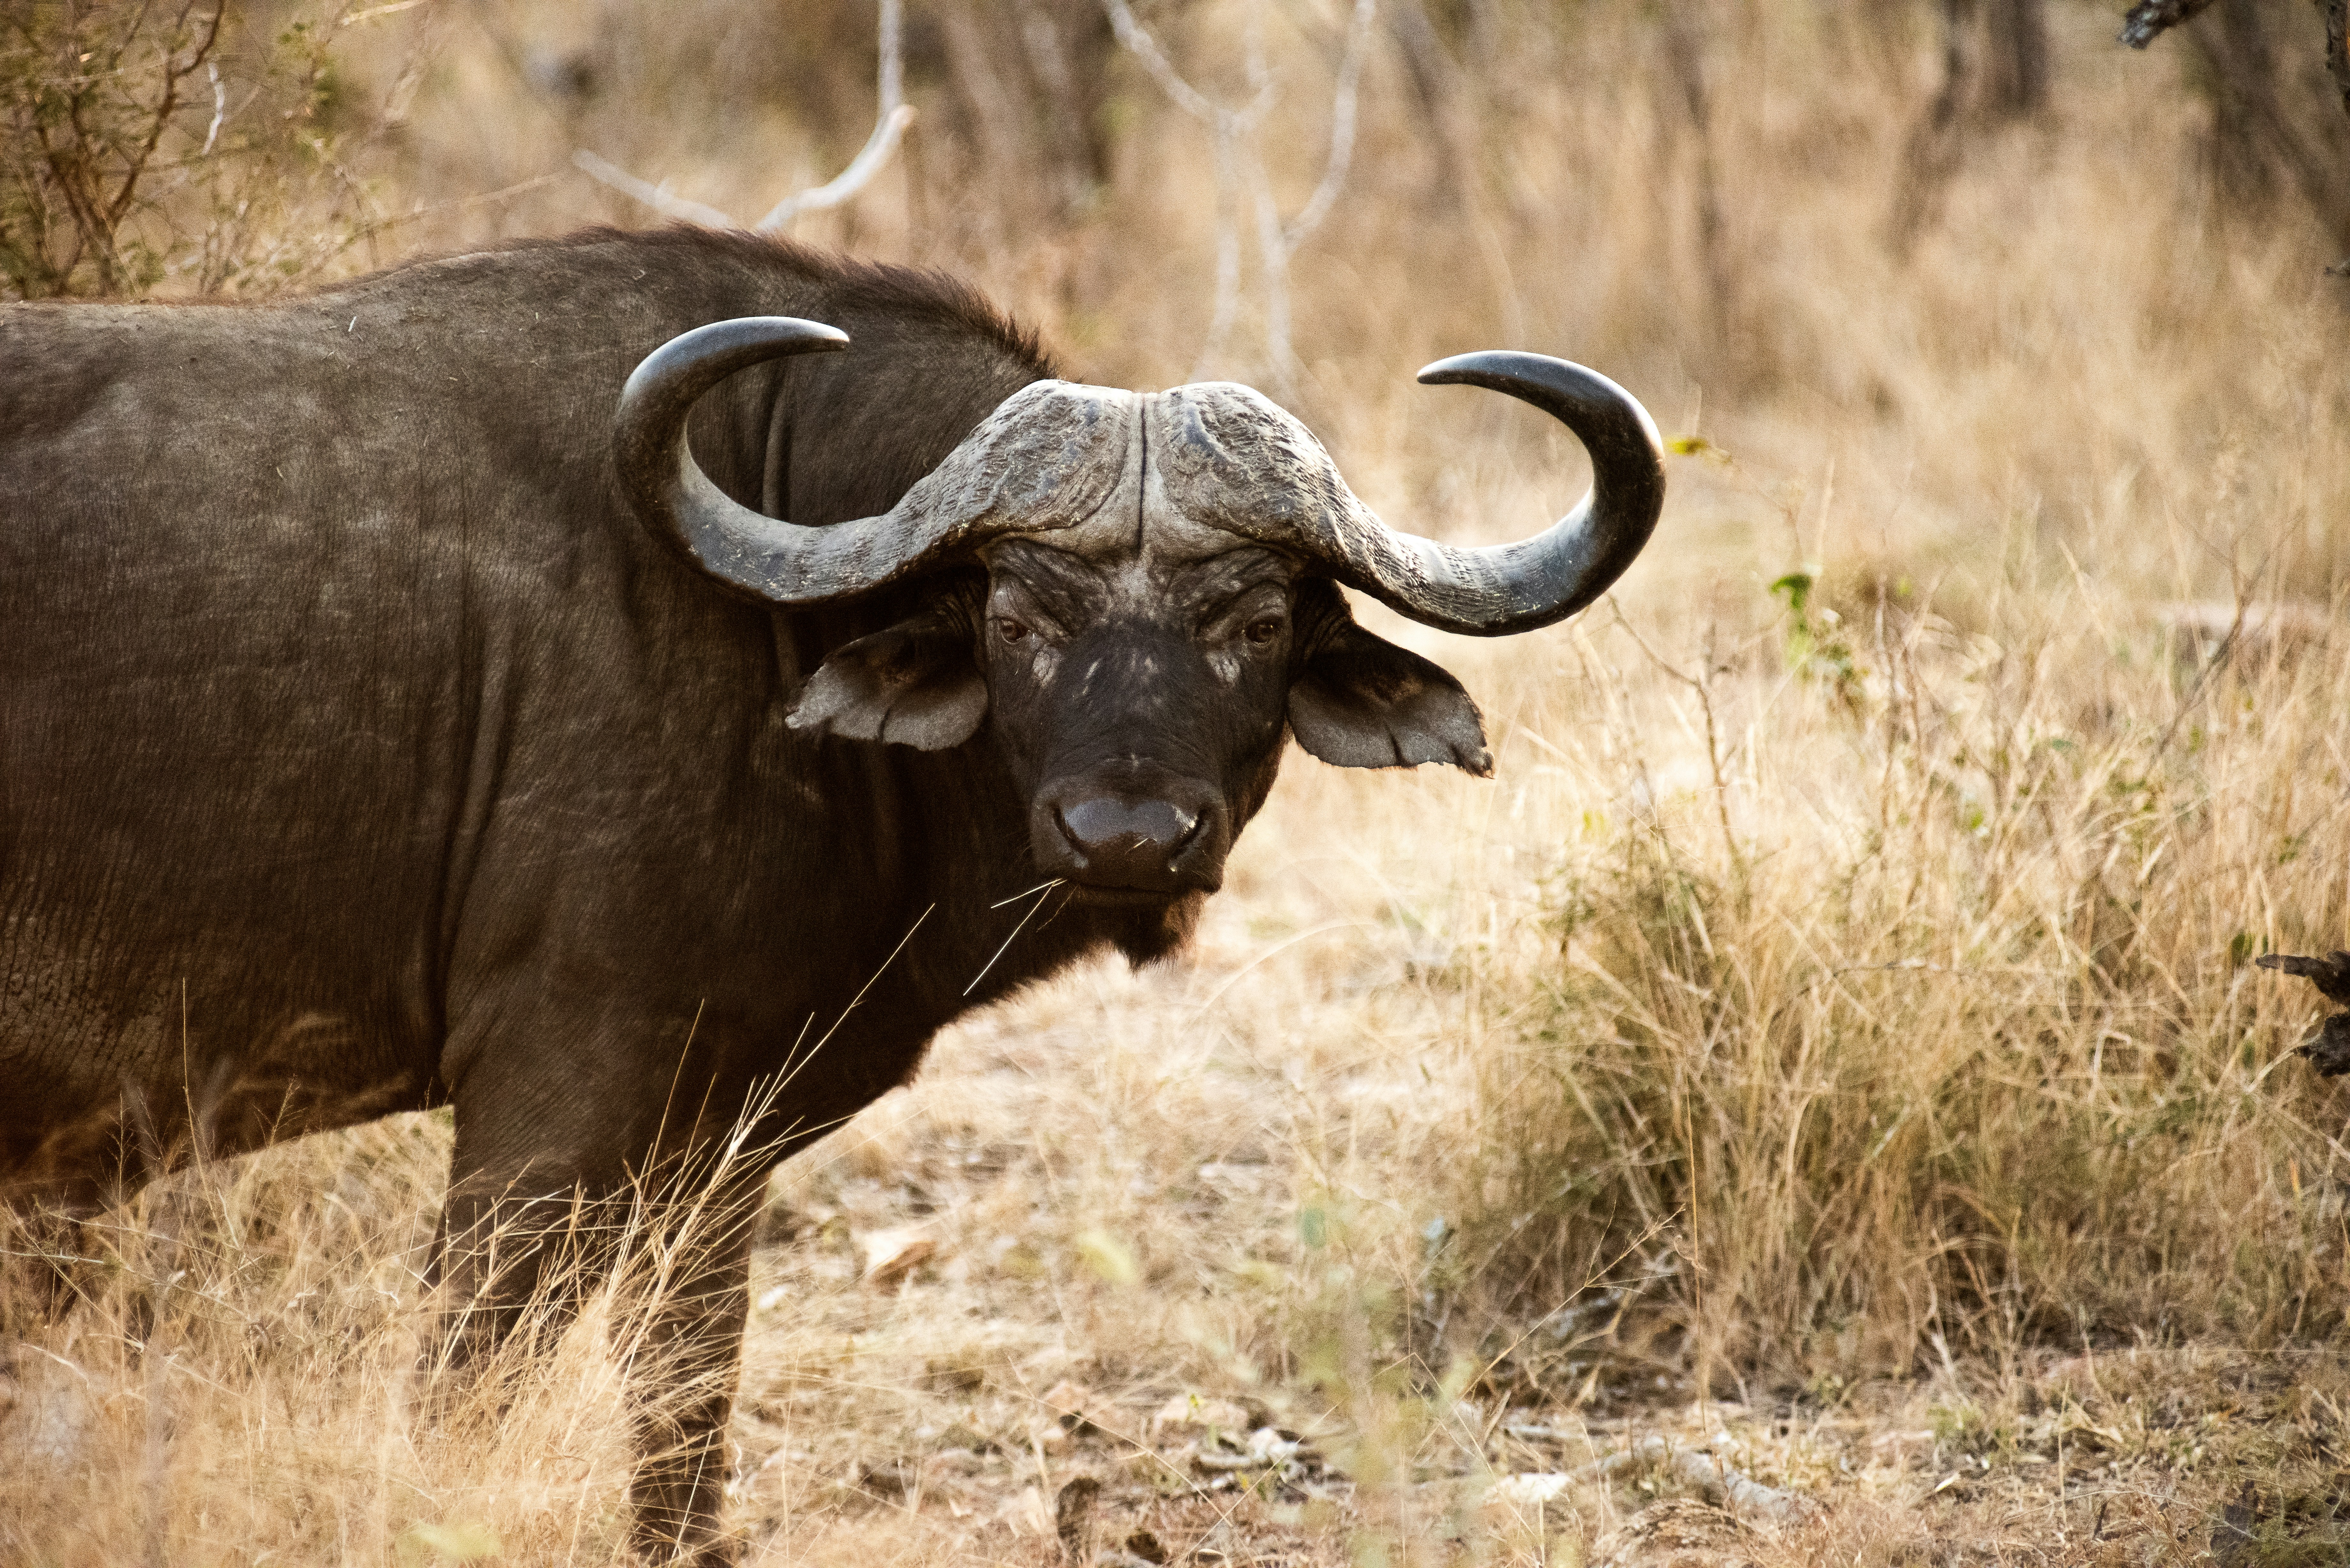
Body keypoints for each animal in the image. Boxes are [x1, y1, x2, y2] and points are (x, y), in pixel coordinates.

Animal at [0, 228, 1663, 1559]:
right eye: (1016, 614)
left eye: (1253, 620)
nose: (1127, 827)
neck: (763, 633)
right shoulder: (547, 1098)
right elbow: (472, 1376)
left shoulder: (714, 1145)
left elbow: (686, 1391)